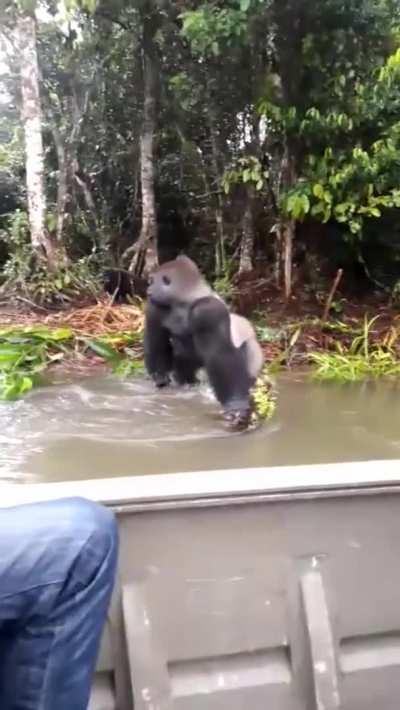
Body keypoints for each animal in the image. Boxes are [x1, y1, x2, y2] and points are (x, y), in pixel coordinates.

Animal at [144, 255, 264, 425]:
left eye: (152, 281)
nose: (148, 291)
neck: (185, 299)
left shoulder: (208, 311)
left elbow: (221, 356)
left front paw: (235, 404)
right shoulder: (156, 306)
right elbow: (157, 341)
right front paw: (160, 379)